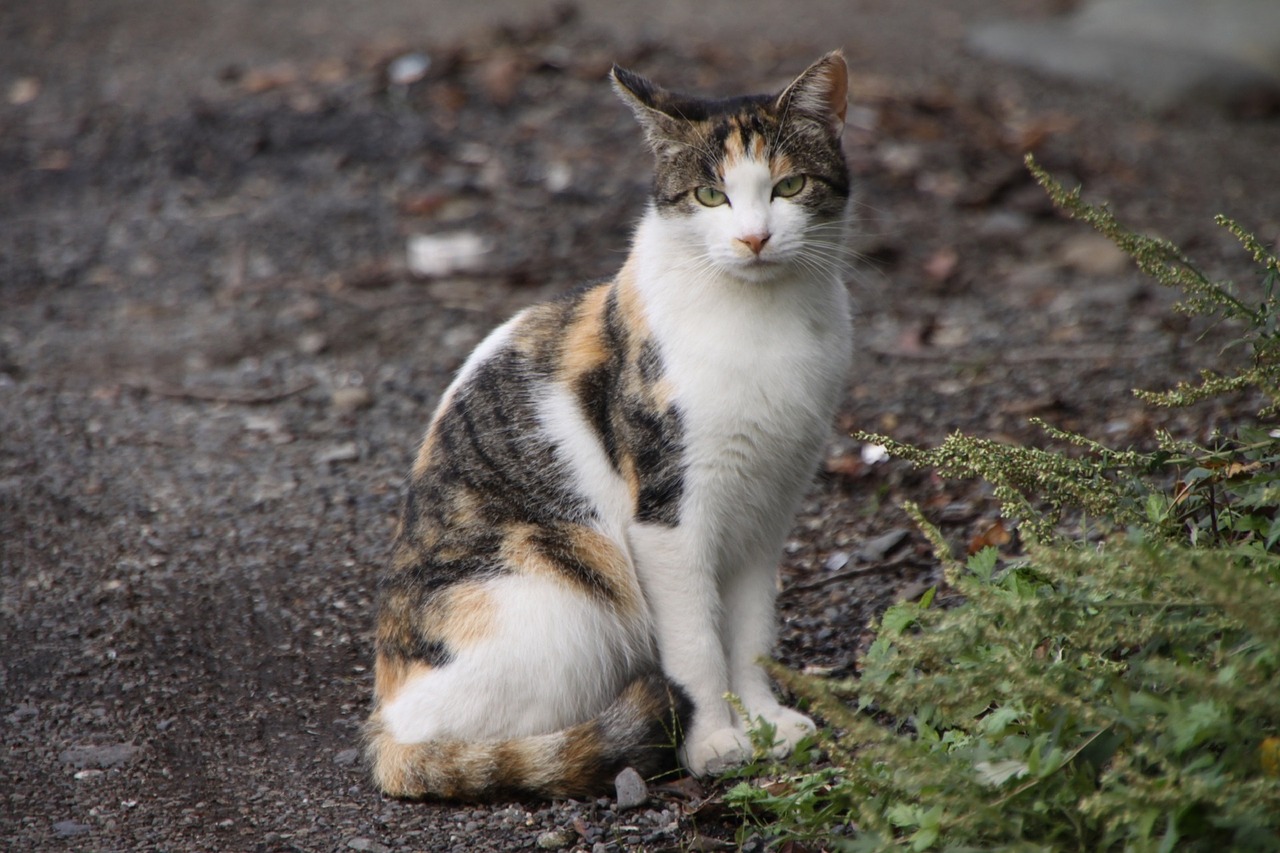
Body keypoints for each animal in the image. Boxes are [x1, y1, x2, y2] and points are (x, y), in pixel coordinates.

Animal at [366, 51, 855, 799]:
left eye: (790, 185)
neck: (762, 323)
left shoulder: (768, 509)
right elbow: (697, 644)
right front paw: (715, 740)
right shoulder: (667, 516)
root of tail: (386, 727)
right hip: (560, 599)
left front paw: (765, 719)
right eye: (710, 197)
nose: (753, 237)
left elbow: (751, 633)